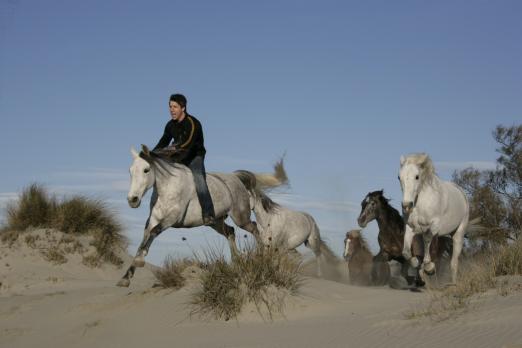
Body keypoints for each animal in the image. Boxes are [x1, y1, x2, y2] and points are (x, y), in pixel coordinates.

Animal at [118, 145, 286, 286]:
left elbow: (153, 233)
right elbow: (144, 240)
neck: (167, 187)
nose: (132, 200)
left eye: (146, 170)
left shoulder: (171, 219)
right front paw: (126, 277)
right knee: (230, 232)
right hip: (215, 222)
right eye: (130, 171)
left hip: (240, 217)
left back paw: (261, 255)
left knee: (255, 228)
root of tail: (235, 177)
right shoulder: (153, 219)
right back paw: (237, 261)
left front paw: (139, 262)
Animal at [398, 154, 468, 284]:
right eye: (399, 177)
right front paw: (417, 264)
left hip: (458, 233)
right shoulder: (410, 227)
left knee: (454, 261)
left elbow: (427, 240)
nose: (406, 206)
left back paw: (453, 283)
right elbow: (406, 252)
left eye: (417, 176)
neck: (420, 202)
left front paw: (429, 267)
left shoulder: (433, 226)